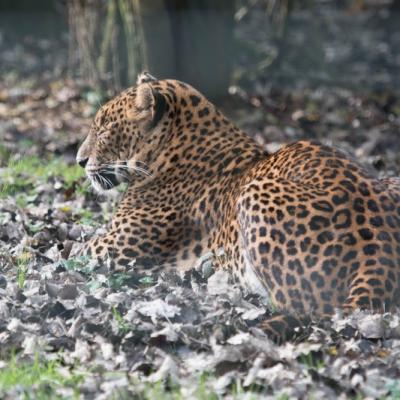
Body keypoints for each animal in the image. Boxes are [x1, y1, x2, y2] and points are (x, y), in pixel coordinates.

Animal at [76, 72, 400, 340]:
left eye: (103, 130)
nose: (79, 160)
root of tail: (379, 247)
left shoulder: (114, 248)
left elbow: (72, 251)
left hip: (254, 193)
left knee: (305, 308)